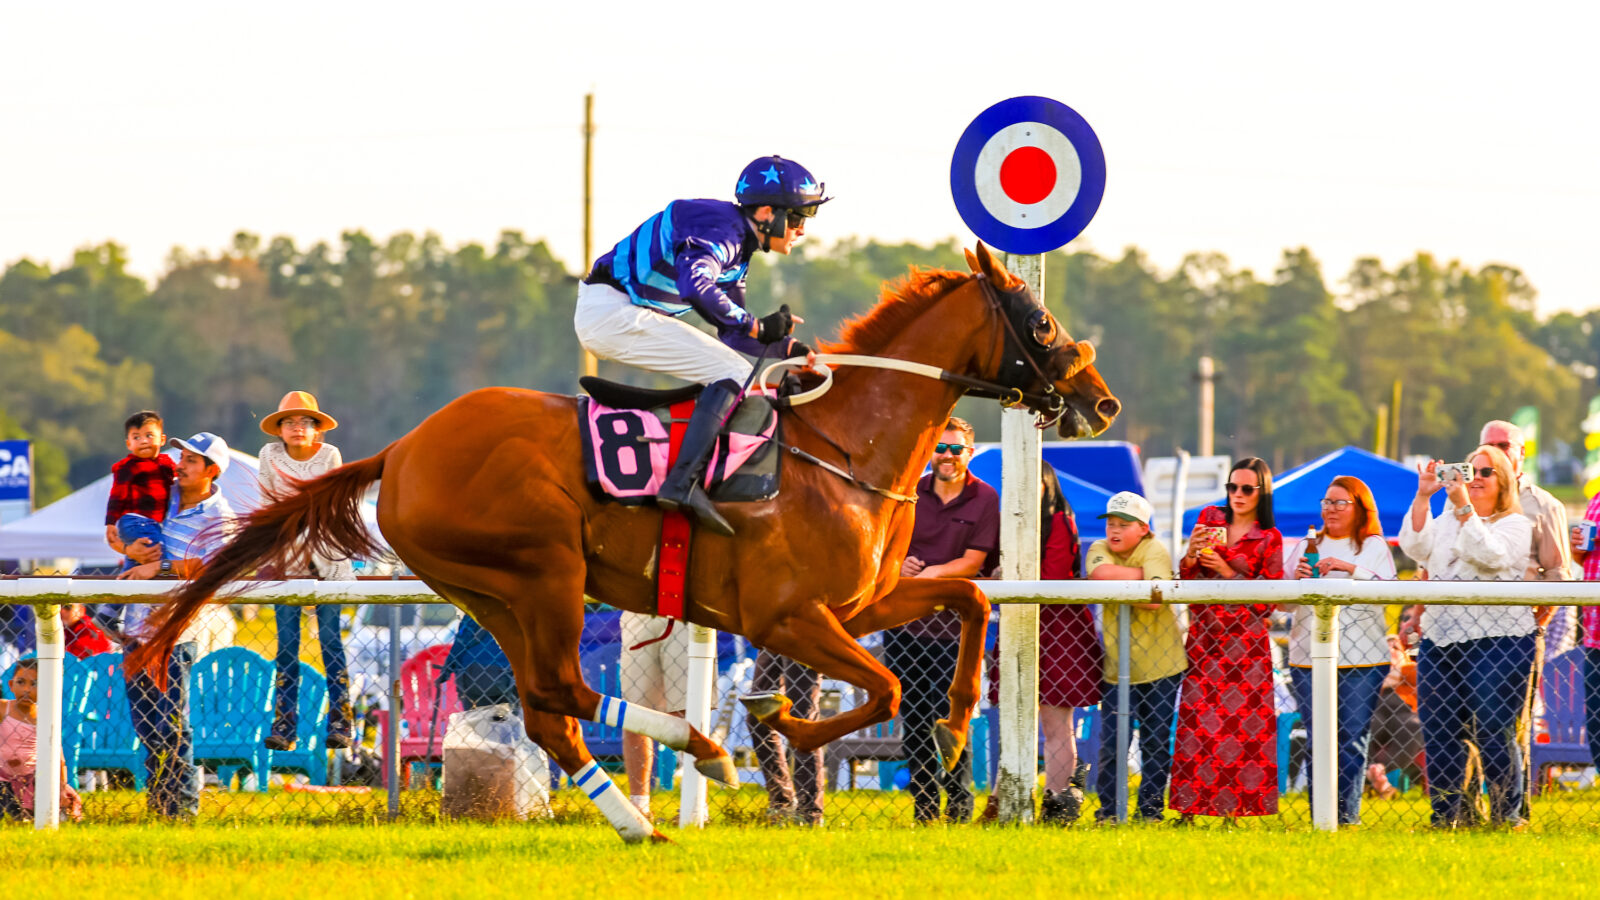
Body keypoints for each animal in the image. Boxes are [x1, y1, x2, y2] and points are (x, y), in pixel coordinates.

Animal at [129, 243, 1120, 842]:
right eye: (1038, 318)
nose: (1100, 400)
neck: (842, 445)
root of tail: (403, 448)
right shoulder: (789, 617)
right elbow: (878, 688)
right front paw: (777, 720)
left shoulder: (866, 599)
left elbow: (974, 599)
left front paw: (951, 729)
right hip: (544, 571)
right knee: (564, 694)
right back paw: (698, 756)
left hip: (491, 592)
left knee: (548, 709)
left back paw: (644, 814)